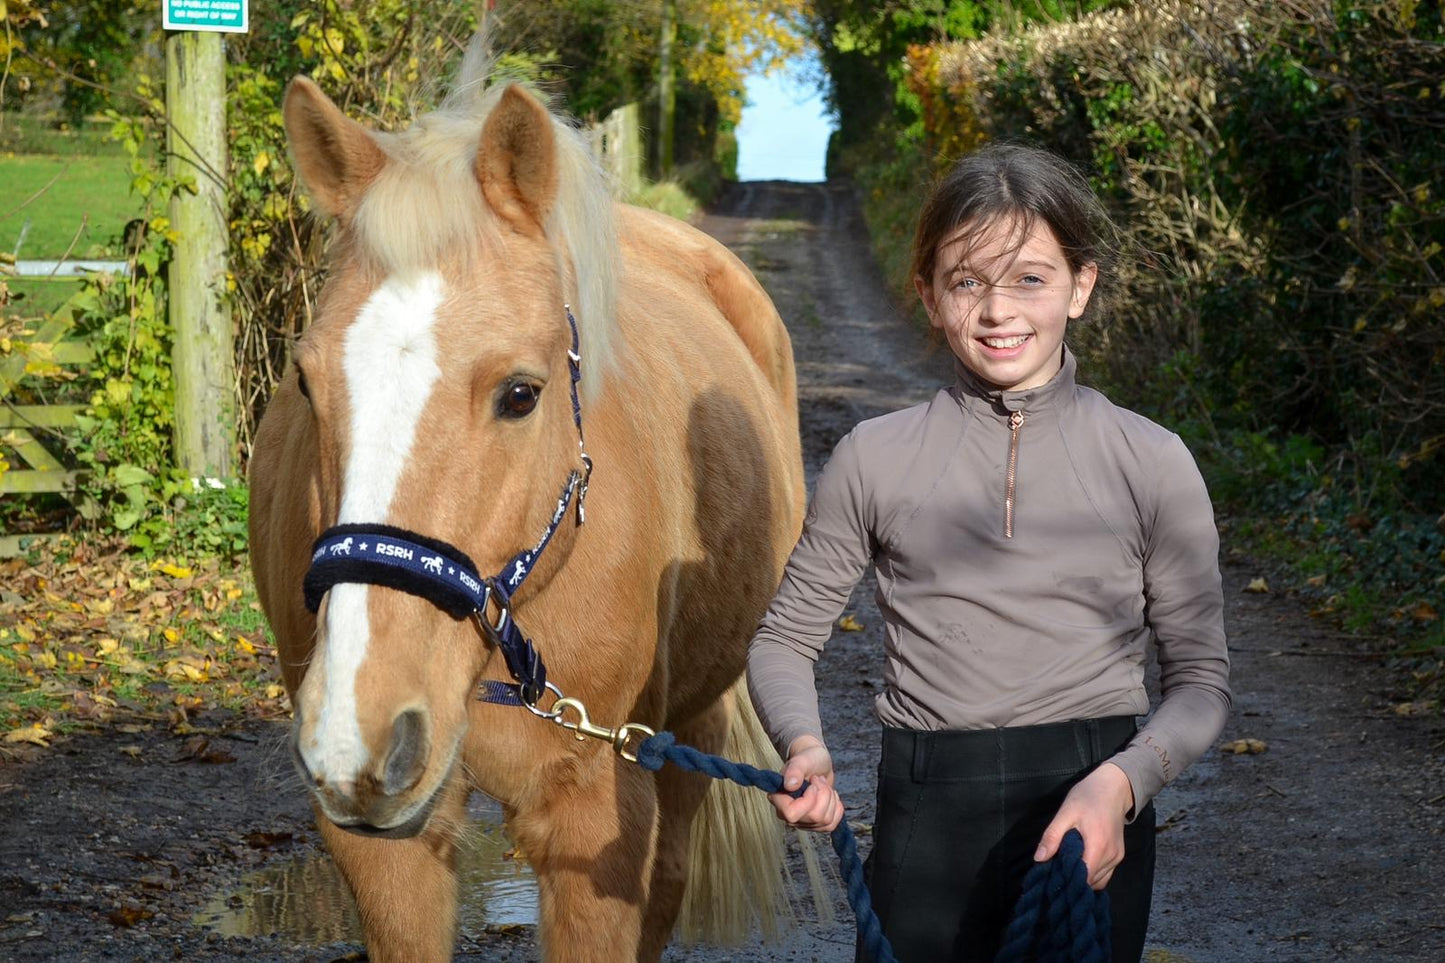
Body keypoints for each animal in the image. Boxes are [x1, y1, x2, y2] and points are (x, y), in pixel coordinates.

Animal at [251, 56, 814, 954]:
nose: (359, 729)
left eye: (521, 393)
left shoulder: (594, 817)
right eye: (306, 381)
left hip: (691, 729)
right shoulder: (382, 847)